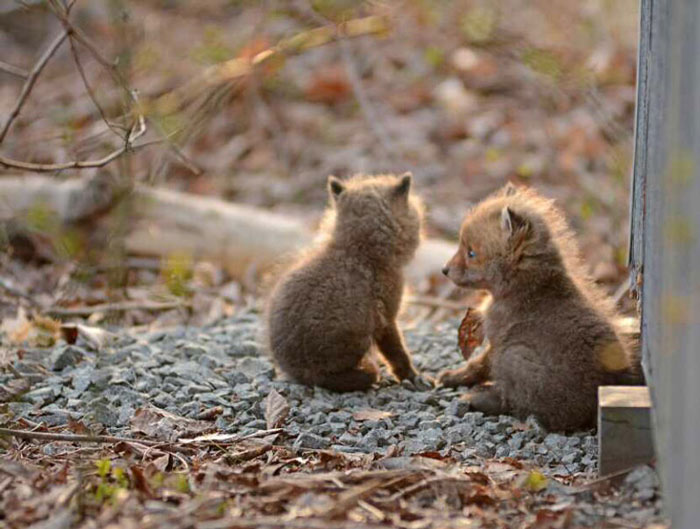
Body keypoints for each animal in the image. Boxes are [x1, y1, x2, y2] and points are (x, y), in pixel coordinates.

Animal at [439, 183, 642, 432]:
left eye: (471, 253)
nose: (444, 269)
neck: (528, 287)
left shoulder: (498, 341)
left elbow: (477, 366)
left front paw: (453, 377)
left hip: (514, 356)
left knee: (515, 403)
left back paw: (477, 399)